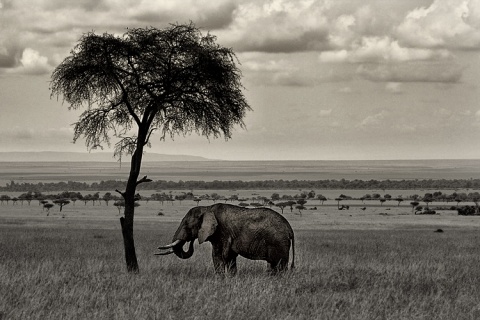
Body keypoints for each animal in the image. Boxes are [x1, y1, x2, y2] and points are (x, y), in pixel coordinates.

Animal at [156, 202, 294, 276]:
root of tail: (289, 228)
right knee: (273, 266)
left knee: (279, 265)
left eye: (186, 224)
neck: (207, 208)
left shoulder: (221, 233)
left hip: (278, 242)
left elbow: (219, 256)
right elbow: (230, 258)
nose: (190, 241)